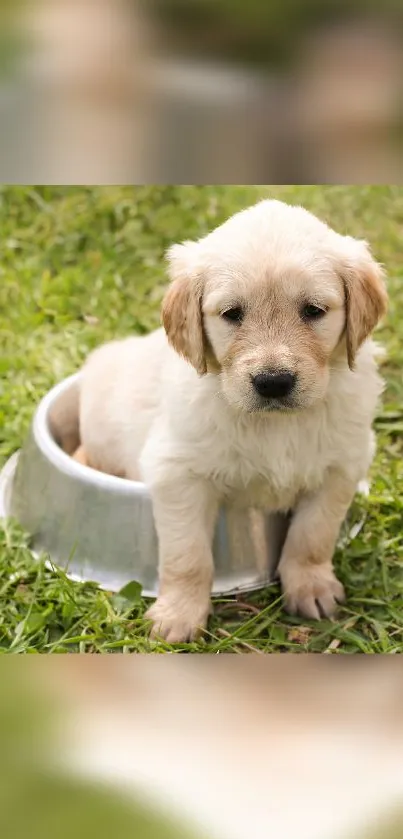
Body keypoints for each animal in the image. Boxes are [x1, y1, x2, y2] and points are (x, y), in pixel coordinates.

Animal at [54, 200, 388, 640]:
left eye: (314, 311)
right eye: (232, 314)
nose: (273, 382)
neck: (276, 424)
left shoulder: (341, 466)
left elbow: (313, 535)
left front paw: (311, 587)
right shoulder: (177, 473)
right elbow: (188, 555)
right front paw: (178, 616)